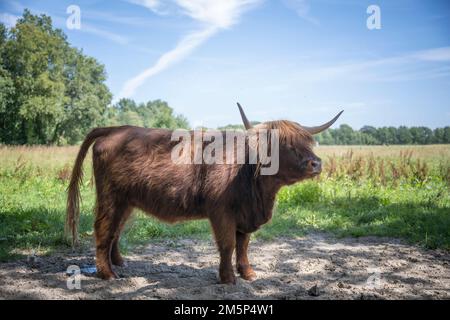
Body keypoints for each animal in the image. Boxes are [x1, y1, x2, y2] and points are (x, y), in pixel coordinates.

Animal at [65, 102, 342, 282]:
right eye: (284, 144)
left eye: (307, 142)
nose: (316, 163)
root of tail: (116, 128)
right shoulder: (221, 212)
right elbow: (228, 244)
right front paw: (228, 278)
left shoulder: (245, 215)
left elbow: (243, 245)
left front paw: (248, 273)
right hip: (110, 197)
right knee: (104, 228)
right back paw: (108, 273)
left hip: (127, 201)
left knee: (116, 229)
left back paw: (119, 262)